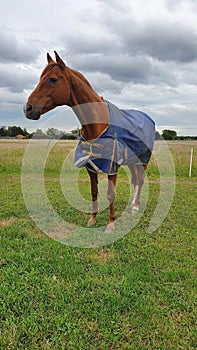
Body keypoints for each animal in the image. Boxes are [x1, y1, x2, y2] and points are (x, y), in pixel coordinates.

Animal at [24, 52, 154, 232]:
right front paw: (92, 219)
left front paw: (111, 223)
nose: (28, 108)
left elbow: (110, 194)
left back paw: (135, 206)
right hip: (131, 160)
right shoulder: (90, 166)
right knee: (135, 179)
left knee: (140, 180)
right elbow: (94, 192)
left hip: (143, 160)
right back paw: (132, 205)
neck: (97, 123)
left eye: (53, 79)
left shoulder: (111, 166)